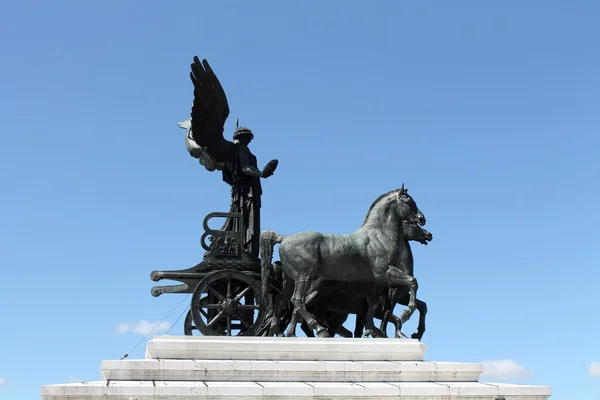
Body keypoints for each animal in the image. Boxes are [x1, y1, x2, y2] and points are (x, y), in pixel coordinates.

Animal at [304, 222, 432, 340]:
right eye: (410, 223)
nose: (428, 234)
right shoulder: (393, 295)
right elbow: (389, 314)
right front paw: (383, 334)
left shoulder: (401, 296)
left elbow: (422, 306)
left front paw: (417, 333)